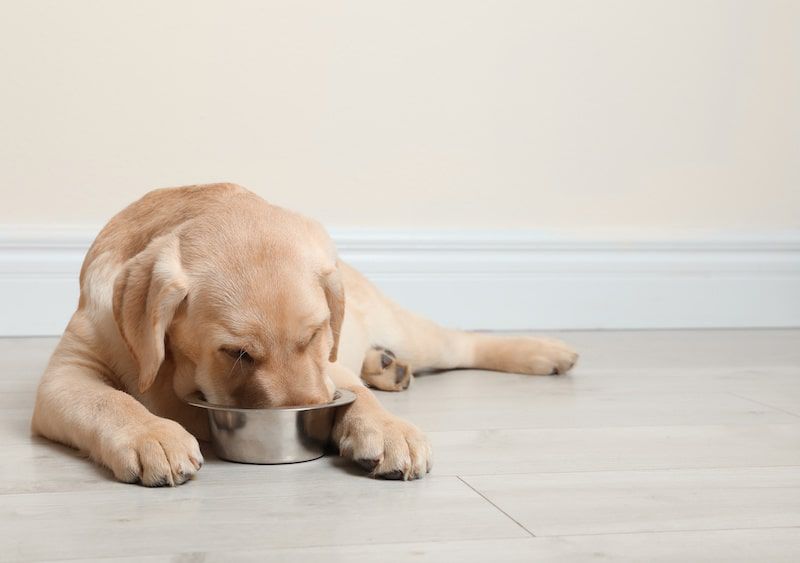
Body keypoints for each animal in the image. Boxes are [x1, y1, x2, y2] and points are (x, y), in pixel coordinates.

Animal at [31, 185, 580, 484]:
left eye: (316, 334)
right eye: (236, 353)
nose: (309, 415)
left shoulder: (330, 366)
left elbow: (354, 393)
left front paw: (388, 430)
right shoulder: (66, 374)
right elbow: (110, 401)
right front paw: (153, 435)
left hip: (407, 330)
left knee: (461, 342)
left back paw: (546, 351)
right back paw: (388, 367)